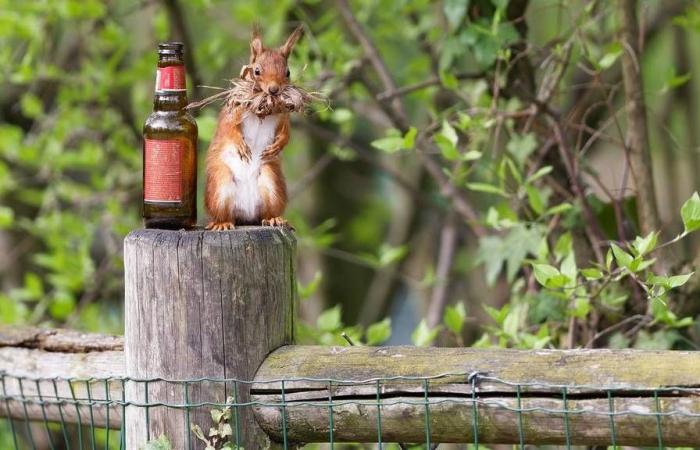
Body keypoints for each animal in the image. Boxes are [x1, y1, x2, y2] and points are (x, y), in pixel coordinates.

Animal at [202, 26, 300, 230]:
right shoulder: (233, 111)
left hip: (271, 179)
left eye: (288, 72)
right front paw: (239, 143)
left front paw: (280, 144)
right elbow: (229, 128)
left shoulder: (283, 116)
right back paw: (222, 223)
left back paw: (274, 219)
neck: (263, 108)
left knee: (268, 211)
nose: (274, 90)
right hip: (220, 184)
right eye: (256, 71)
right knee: (224, 213)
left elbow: (286, 132)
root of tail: (246, 215)